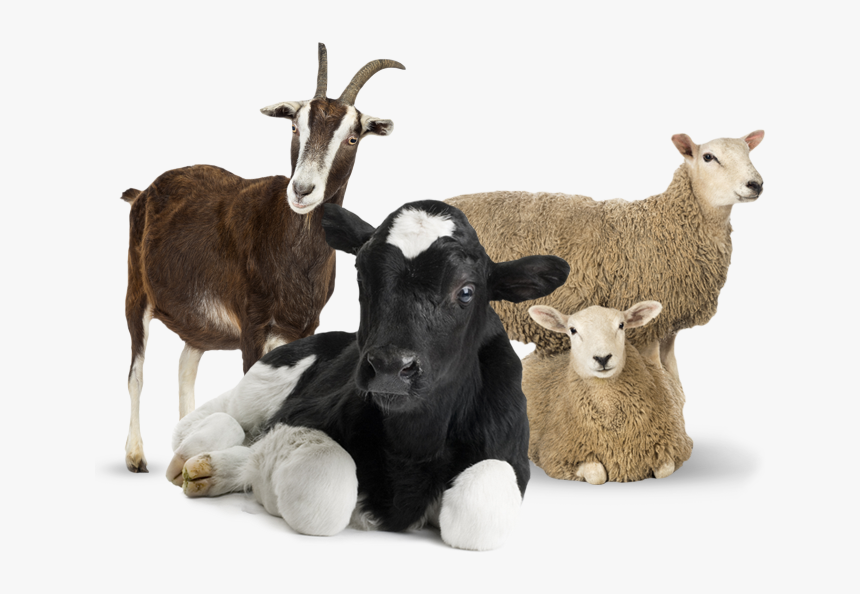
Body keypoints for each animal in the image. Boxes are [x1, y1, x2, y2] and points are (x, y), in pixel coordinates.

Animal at [121, 44, 403, 472]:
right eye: (295, 128)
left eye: (353, 137)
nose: (302, 190)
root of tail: (144, 192)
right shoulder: (252, 325)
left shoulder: (303, 327)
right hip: (136, 292)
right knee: (136, 372)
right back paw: (136, 457)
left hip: (198, 322)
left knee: (186, 365)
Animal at [165, 200, 570, 550]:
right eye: (362, 274)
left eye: (467, 291)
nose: (390, 366)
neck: (413, 443)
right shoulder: (298, 416)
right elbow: (324, 490)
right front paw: (261, 482)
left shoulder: (510, 454)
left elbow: (477, 513)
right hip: (265, 379)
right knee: (217, 420)